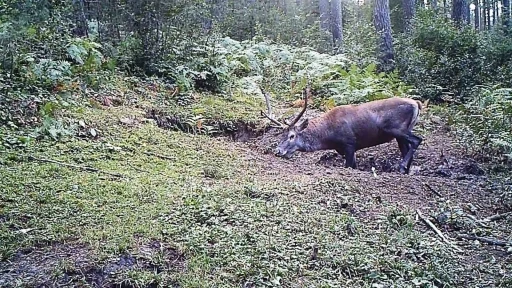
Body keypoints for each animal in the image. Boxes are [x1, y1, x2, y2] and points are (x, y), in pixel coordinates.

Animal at [260, 84, 424, 174]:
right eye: (281, 135)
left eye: (292, 136)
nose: (278, 150)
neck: (329, 137)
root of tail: (416, 104)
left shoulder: (349, 143)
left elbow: (349, 166)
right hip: (400, 134)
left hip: (396, 128)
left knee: (417, 140)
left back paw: (401, 166)